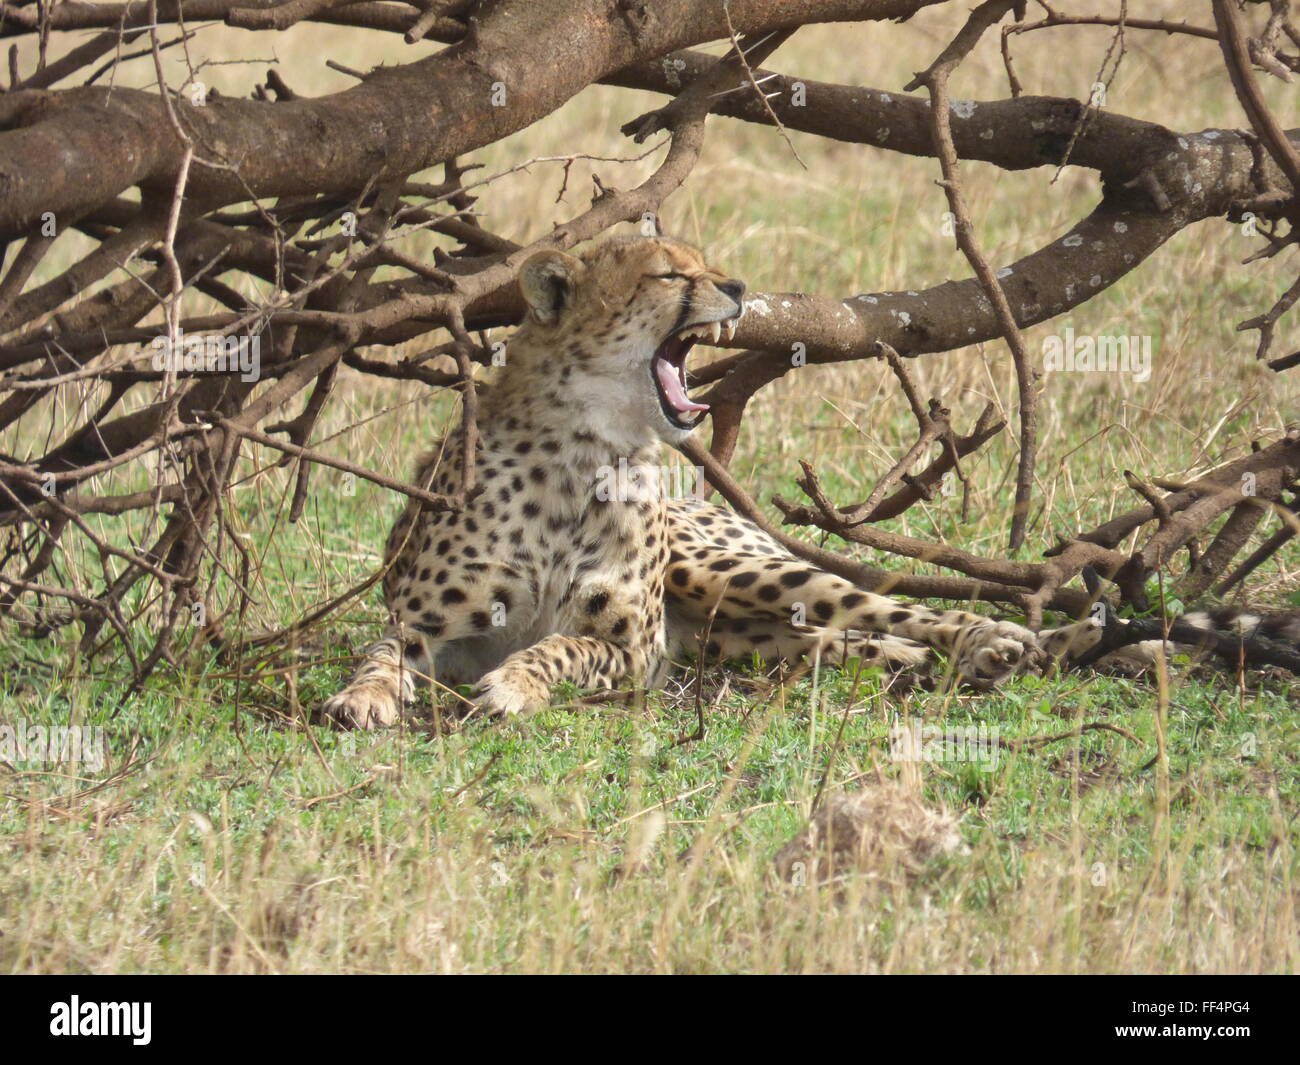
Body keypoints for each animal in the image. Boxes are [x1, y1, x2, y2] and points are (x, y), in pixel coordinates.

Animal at [319, 235, 1100, 728]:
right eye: (670, 275)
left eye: (703, 265)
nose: (736, 287)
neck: (583, 450)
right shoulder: (425, 625)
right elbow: (381, 652)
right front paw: (364, 696)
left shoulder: (636, 650)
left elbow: (561, 646)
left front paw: (513, 682)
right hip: (742, 637)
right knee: (852, 638)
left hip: (728, 570)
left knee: (897, 608)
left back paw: (1001, 640)